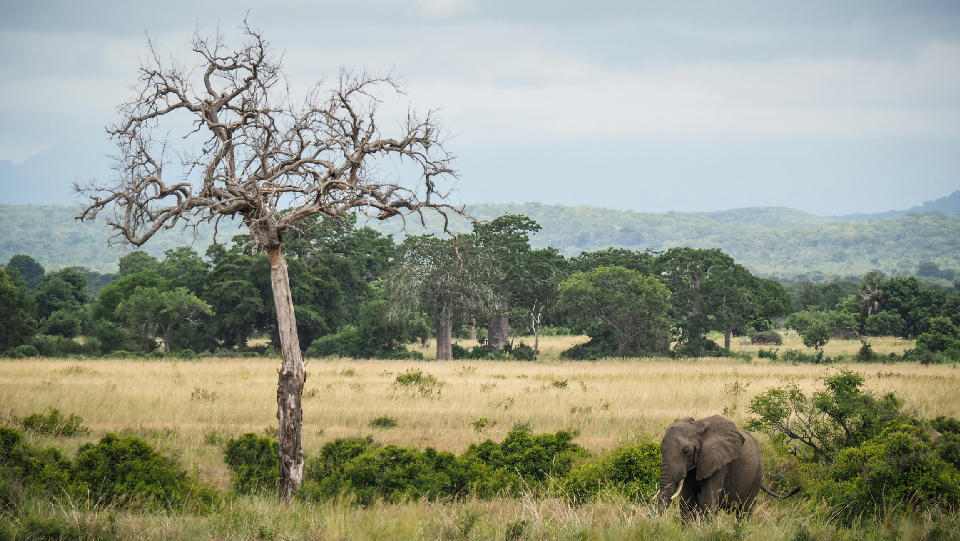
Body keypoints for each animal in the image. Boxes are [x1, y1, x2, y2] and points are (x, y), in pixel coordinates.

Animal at [657, 415, 796, 522]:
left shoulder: (720, 465)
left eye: (686, 451)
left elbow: (707, 501)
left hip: (757, 475)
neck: (697, 427)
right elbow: (686, 501)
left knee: (744, 510)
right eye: (661, 449)